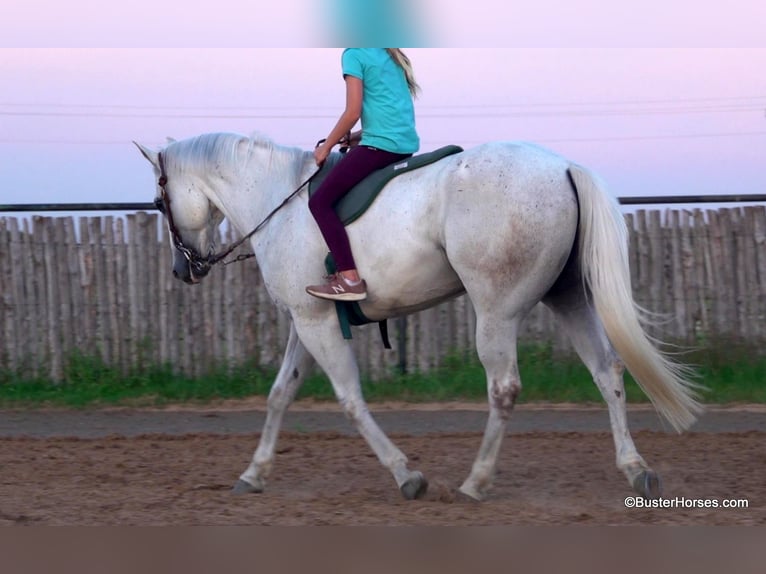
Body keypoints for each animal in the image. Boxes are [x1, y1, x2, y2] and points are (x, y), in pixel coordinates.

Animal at [136, 133, 704, 502]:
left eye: (160, 203)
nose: (182, 270)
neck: (280, 201)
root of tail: (562, 167)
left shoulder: (316, 322)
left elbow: (349, 399)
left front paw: (405, 475)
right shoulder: (307, 319)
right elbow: (281, 394)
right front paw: (254, 474)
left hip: (497, 313)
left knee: (504, 388)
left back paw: (476, 482)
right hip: (567, 299)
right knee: (608, 372)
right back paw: (635, 469)